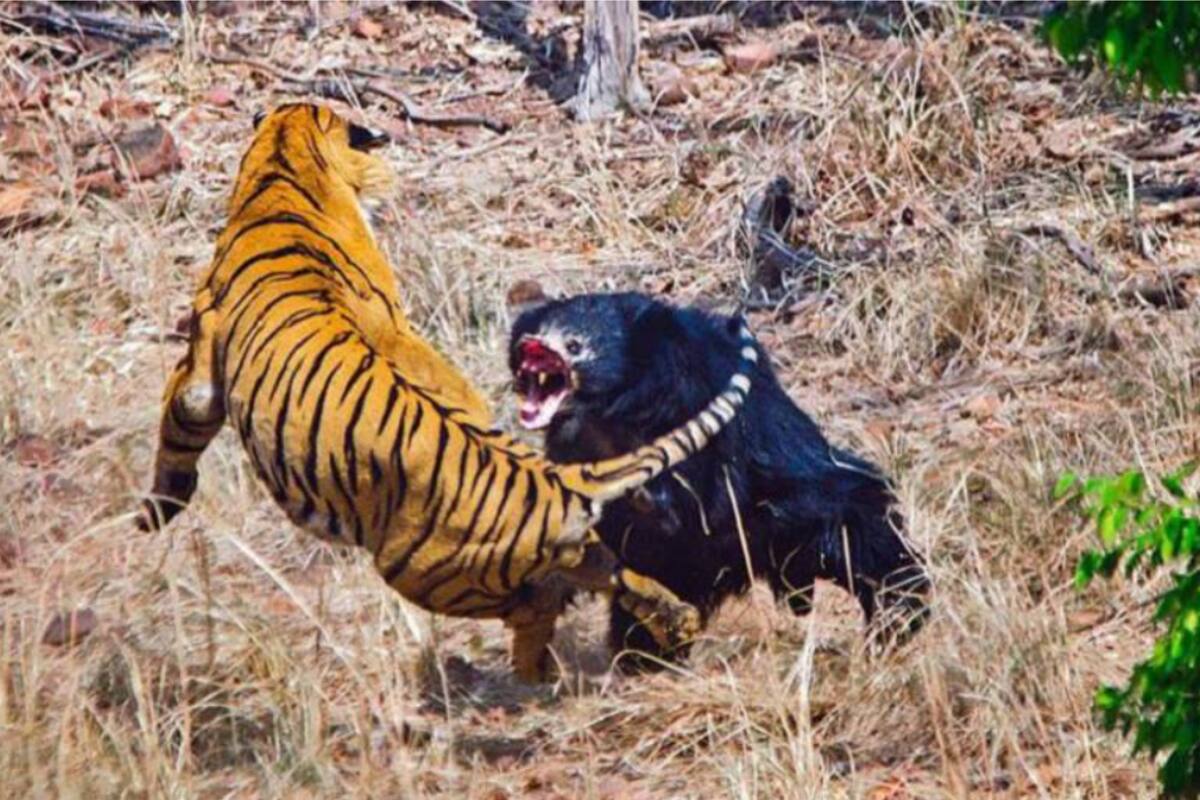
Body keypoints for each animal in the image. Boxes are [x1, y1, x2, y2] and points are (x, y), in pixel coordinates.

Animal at [137, 103, 759, 681]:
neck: (288, 166)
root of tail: (554, 478)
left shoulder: (200, 366)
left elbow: (179, 425)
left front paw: (157, 512)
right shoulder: (396, 325)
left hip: (422, 571)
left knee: (538, 602)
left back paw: (530, 670)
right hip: (565, 550)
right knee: (617, 574)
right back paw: (672, 620)